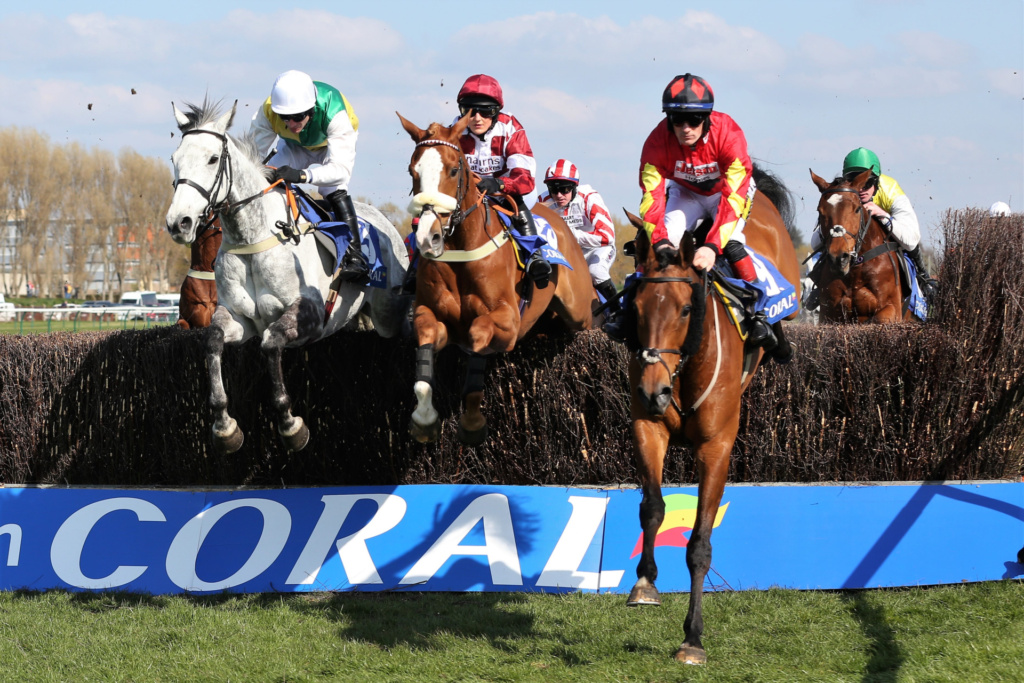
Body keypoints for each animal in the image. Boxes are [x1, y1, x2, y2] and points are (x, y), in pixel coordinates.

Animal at [165, 100, 409, 454]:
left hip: (389, 312)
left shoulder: (309, 315)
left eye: (212, 158)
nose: (178, 222)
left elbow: (270, 344)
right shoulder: (238, 318)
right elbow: (212, 342)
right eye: (175, 159)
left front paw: (290, 425)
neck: (253, 236)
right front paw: (225, 427)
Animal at [395, 114, 598, 446]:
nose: (428, 237)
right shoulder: (428, 314)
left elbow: (478, 335)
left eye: (453, 169)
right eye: (413, 171)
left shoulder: (509, 321)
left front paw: (472, 421)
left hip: (579, 312)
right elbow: (424, 364)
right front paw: (424, 420)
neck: (461, 250)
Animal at [622, 174, 798, 663]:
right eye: (636, 306)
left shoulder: (716, 448)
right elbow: (652, 507)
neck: (681, 370)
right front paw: (644, 583)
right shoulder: (647, 427)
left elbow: (699, 543)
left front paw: (692, 639)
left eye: (686, 308)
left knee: (733, 237)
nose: (654, 391)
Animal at [811, 169, 909, 321]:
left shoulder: (893, 308)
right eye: (820, 211)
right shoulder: (828, 313)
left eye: (857, 209)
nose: (839, 259)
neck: (856, 271)